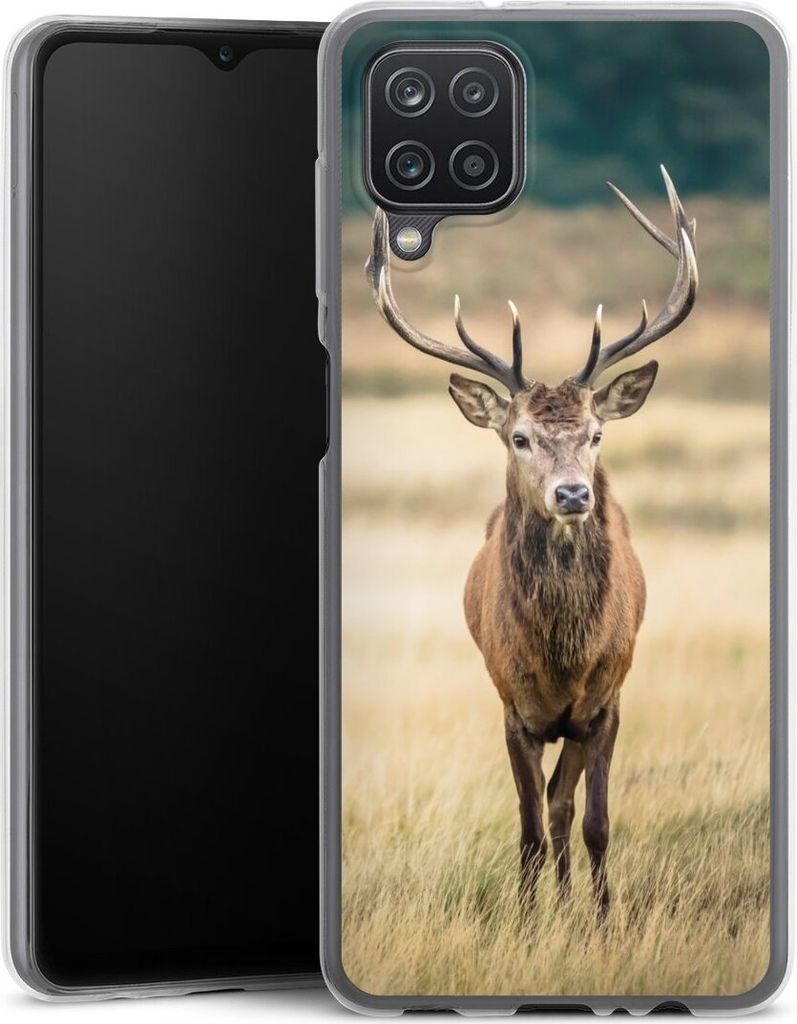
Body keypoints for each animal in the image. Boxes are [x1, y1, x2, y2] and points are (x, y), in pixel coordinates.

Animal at [365, 167, 698, 918]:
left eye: (596, 434)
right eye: (518, 437)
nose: (572, 494)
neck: (562, 658)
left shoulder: (605, 701)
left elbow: (592, 820)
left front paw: (601, 919)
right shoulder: (511, 707)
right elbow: (526, 828)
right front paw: (523, 919)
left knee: (564, 805)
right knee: (546, 809)